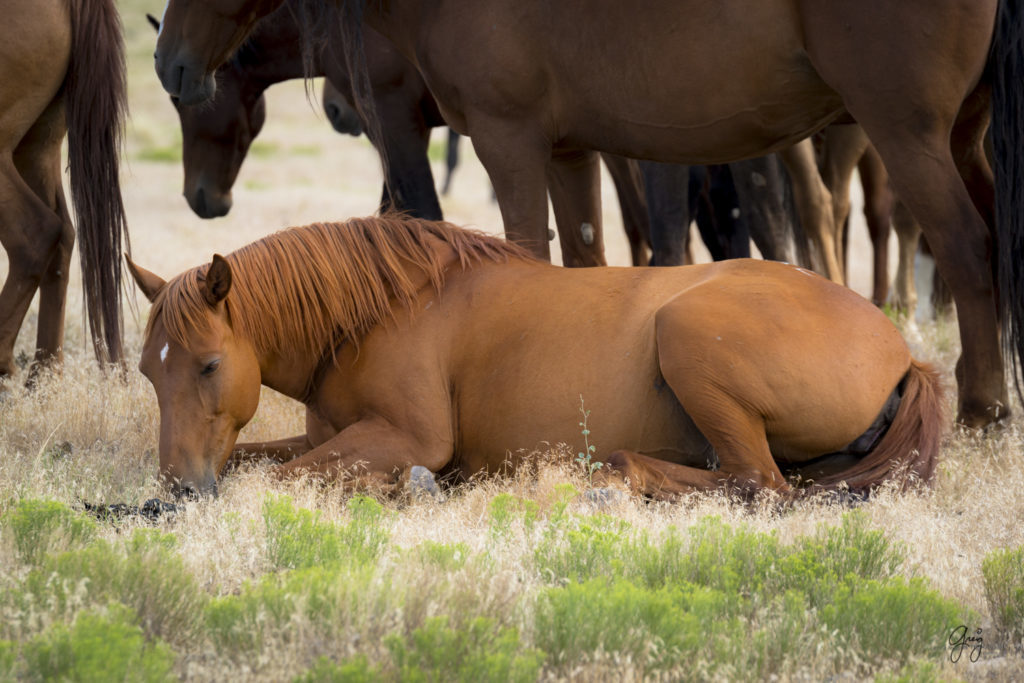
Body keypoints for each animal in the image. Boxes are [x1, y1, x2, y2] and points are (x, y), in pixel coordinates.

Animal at [128, 216, 942, 499]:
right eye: (147, 372)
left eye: (207, 365)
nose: (176, 488)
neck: (375, 312)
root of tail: (902, 352)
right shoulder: (328, 434)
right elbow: (258, 459)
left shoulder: (409, 437)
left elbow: (281, 476)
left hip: (687, 337)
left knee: (758, 484)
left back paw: (615, 475)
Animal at [153, 0, 1024, 428]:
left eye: (192, 104)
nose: (169, 65)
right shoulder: (569, 149)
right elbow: (583, 258)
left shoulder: (472, 132)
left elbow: (488, 241)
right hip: (958, 133)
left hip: (900, 130)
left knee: (961, 244)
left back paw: (984, 406)